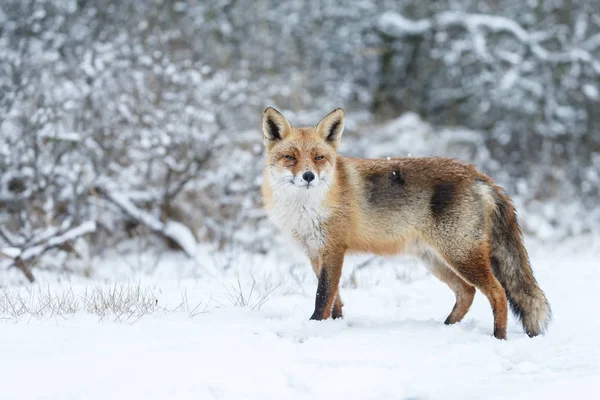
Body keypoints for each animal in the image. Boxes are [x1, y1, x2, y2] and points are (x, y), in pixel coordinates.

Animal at [260, 108, 552, 340]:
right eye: (290, 157)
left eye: (319, 157)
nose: (308, 176)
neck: (305, 208)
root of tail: (480, 175)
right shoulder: (314, 253)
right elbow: (335, 299)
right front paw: (336, 325)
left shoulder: (333, 250)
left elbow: (323, 297)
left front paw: (314, 329)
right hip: (435, 259)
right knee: (467, 292)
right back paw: (447, 327)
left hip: (461, 255)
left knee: (497, 292)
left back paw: (498, 337)